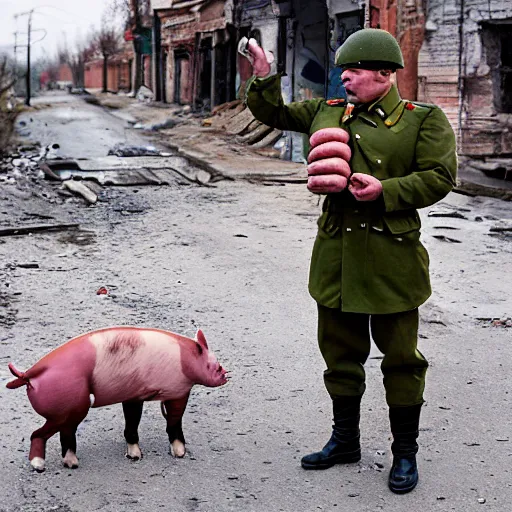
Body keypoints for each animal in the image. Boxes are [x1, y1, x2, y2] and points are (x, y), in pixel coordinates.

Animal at [6, 328, 226, 472]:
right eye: (215, 366)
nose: (225, 376)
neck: (185, 360)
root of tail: (28, 374)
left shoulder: (133, 394)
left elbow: (133, 422)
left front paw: (135, 456)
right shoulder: (177, 392)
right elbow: (172, 422)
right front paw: (178, 454)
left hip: (70, 410)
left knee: (65, 434)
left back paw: (72, 464)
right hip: (69, 408)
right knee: (39, 434)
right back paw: (39, 466)